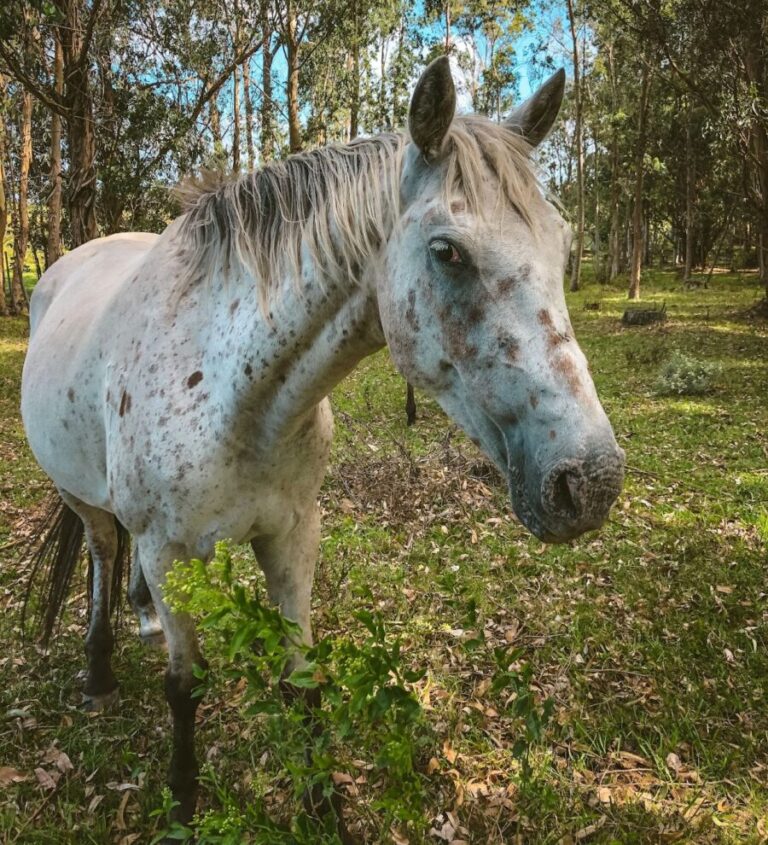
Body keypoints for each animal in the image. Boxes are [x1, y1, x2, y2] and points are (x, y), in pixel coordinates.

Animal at [21, 59, 624, 832]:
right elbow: (185, 686)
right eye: (447, 251)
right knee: (101, 550)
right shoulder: (168, 550)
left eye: (564, 244)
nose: (591, 480)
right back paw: (98, 669)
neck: (232, 393)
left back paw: (144, 617)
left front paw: (322, 801)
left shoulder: (293, 533)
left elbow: (302, 677)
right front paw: (183, 801)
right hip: (82, 499)